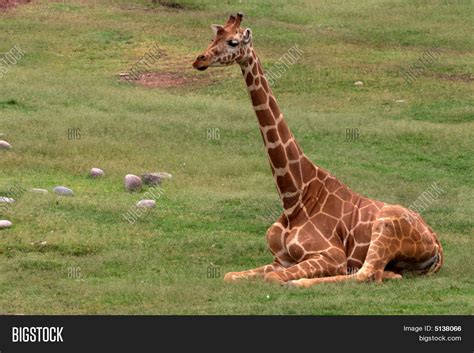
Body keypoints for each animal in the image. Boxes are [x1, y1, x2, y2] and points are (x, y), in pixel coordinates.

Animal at [191, 13, 442, 286]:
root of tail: (437, 243)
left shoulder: (331, 255)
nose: (199, 59)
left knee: (365, 274)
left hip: (385, 226)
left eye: (233, 42)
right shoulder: (280, 259)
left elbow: (273, 277)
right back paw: (391, 272)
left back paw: (303, 282)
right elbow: (232, 275)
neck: (294, 197)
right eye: (213, 37)